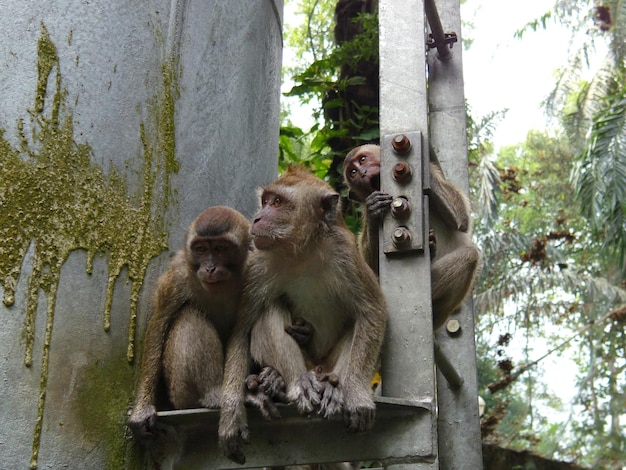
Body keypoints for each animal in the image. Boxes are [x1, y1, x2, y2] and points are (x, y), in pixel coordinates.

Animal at [128, 207, 250, 438]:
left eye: (221, 248)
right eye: (201, 249)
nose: (210, 268)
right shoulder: (178, 274)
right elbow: (159, 323)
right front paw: (142, 409)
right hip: (179, 392)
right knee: (189, 314)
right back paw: (212, 395)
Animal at [218, 167, 386, 464]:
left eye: (278, 202)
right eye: (265, 201)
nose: (257, 218)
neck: (303, 251)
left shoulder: (344, 254)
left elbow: (372, 311)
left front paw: (355, 394)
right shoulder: (259, 264)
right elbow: (241, 330)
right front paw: (231, 416)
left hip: (326, 363)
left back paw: (332, 387)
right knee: (270, 308)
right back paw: (291, 381)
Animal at [342, 145, 478, 328]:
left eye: (362, 160)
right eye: (353, 172)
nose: (362, 173)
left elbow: (461, 219)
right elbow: (373, 267)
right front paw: (373, 209)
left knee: (469, 255)